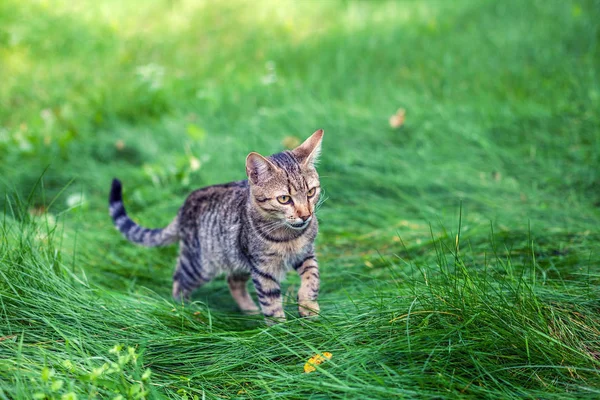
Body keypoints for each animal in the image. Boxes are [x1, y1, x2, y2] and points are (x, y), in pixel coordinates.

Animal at [108, 130, 324, 324]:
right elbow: (271, 303)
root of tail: (184, 206)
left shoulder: (306, 253)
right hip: (199, 264)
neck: (288, 235)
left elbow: (312, 278)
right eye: (284, 199)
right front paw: (280, 330)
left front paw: (308, 306)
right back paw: (184, 309)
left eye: (311, 192)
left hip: (236, 258)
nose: (306, 215)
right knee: (179, 279)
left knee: (232, 281)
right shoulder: (263, 269)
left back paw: (249, 310)